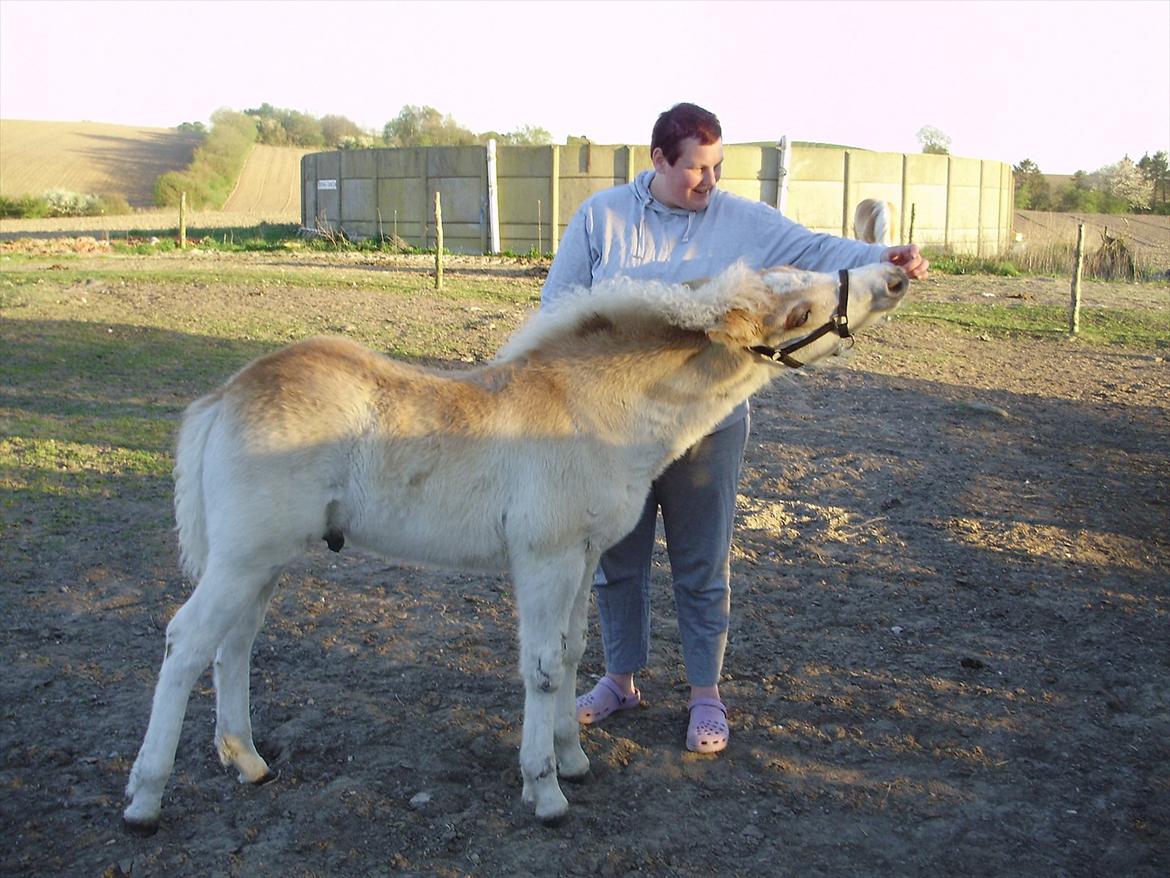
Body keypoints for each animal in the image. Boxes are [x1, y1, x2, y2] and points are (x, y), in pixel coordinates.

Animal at [125, 259, 912, 833]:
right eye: (798, 312)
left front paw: (574, 758)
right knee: (186, 642)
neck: (592, 410)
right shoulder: (545, 558)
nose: (893, 275)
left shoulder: (584, 558)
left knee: (234, 644)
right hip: (242, 559)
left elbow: (570, 655)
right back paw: (145, 800)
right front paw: (546, 791)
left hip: (264, 561)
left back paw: (248, 761)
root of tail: (225, 395)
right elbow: (539, 668)